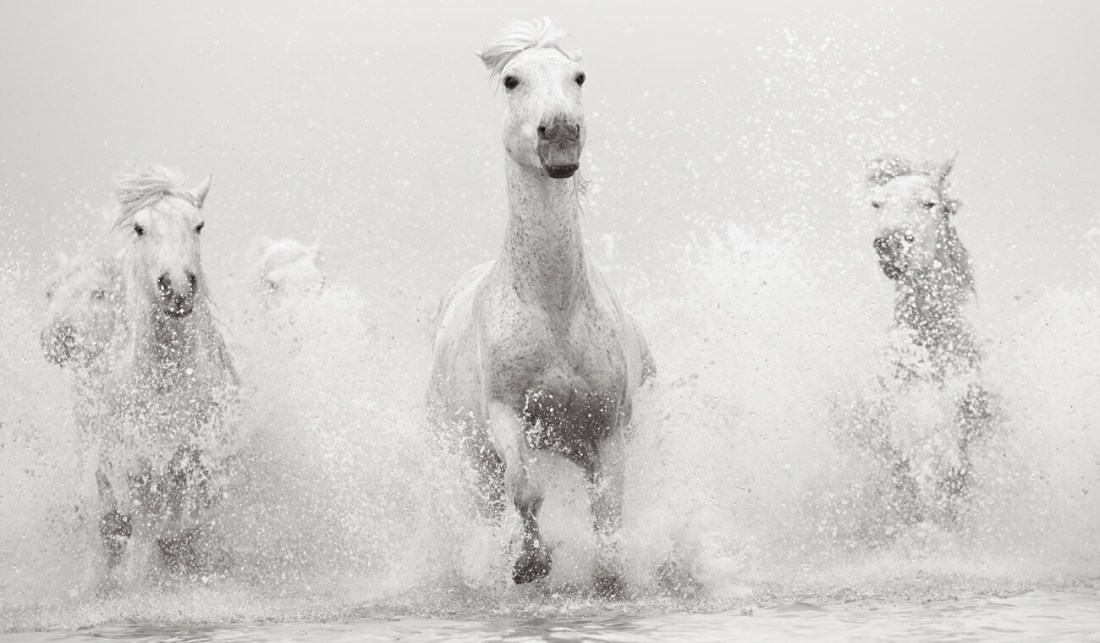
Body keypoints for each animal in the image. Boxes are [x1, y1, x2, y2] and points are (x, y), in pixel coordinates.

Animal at [93, 165, 239, 580]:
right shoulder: (137, 478)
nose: (176, 287)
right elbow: (143, 551)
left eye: (199, 225)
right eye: (139, 228)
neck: (167, 383)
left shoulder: (199, 474)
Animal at [427, 18, 655, 594]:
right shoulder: (506, 414)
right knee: (490, 506)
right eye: (512, 79)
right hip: (471, 459)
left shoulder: (608, 430)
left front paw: (608, 577)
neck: (554, 310)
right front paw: (530, 563)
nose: (560, 134)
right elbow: (526, 488)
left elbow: (608, 514)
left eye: (579, 76)